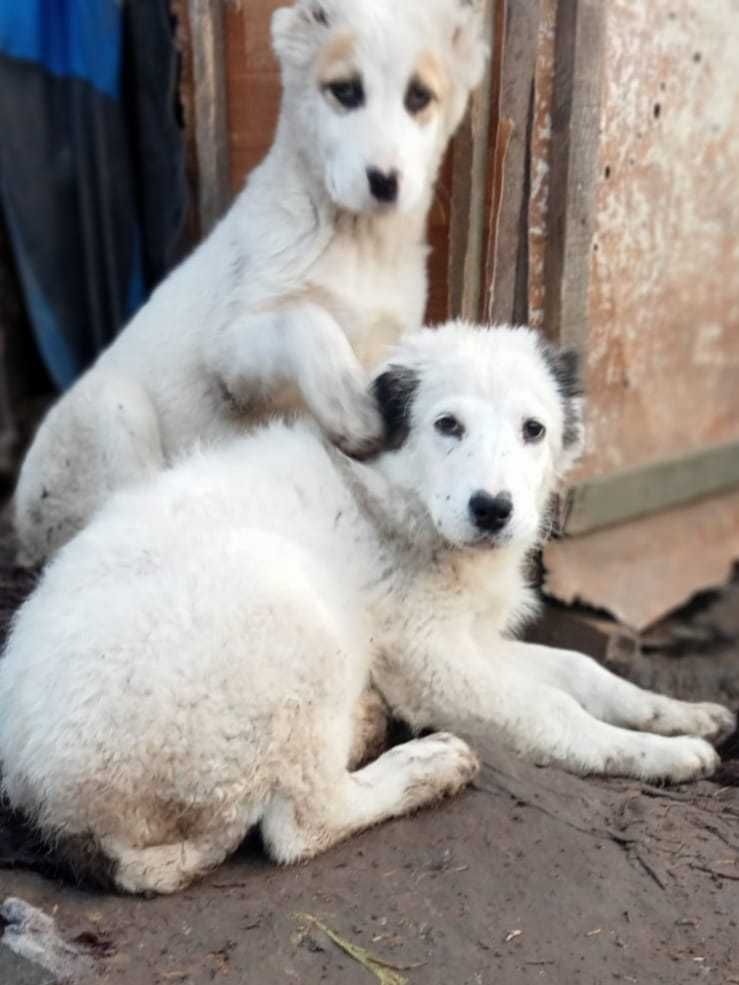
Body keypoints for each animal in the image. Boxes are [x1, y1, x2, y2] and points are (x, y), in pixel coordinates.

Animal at [0, 322, 736, 892]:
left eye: (534, 430)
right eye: (447, 425)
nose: (493, 509)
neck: (397, 499)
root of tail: (51, 806)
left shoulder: (469, 639)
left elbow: (583, 669)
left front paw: (679, 715)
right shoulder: (431, 661)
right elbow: (554, 711)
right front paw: (657, 755)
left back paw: (365, 723)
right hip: (295, 613)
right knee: (301, 821)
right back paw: (428, 766)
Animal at [14, 0, 488, 564]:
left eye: (419, 97)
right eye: (345, 91)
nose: (384, 182)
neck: (357, 242)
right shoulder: (230, 357)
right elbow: (306, 320)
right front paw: (351, 414)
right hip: (110, 407)